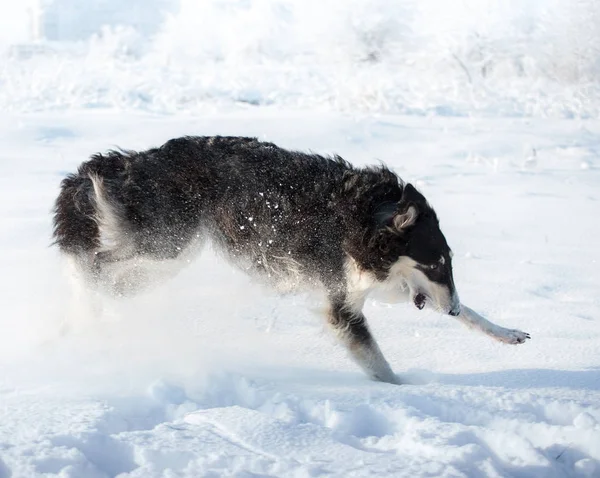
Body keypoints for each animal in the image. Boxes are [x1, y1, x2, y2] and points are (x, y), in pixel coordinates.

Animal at [52, 136, 528, 382]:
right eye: (435, 264)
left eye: (447, 264)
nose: (450, 312)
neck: (364, 218)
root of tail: (143, 156)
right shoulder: (341, 307)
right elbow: (381, 366)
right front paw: (411, 392)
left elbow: (475, 315)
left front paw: (506, 333)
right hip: (166, 243)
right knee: (93, 261)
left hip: (169, 257)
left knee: (109, 276)